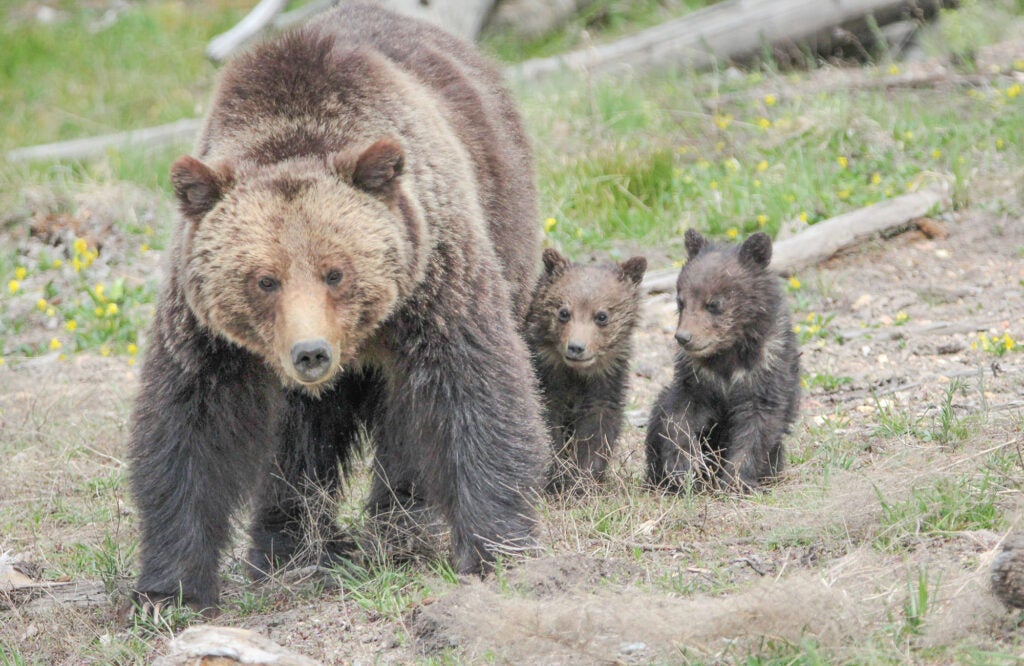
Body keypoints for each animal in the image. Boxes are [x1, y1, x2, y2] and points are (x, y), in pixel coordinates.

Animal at [130, 2, 544, 610]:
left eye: (336, 272)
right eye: (265, 280)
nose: (311, 353)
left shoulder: (434, 278)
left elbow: (471, 388)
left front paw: (496, 546)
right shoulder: (205, 328)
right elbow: (190, 426)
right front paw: (171, 588)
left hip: (503, 210)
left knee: (401, 420)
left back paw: (401, 525)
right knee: (298, 438)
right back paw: (289, 546)